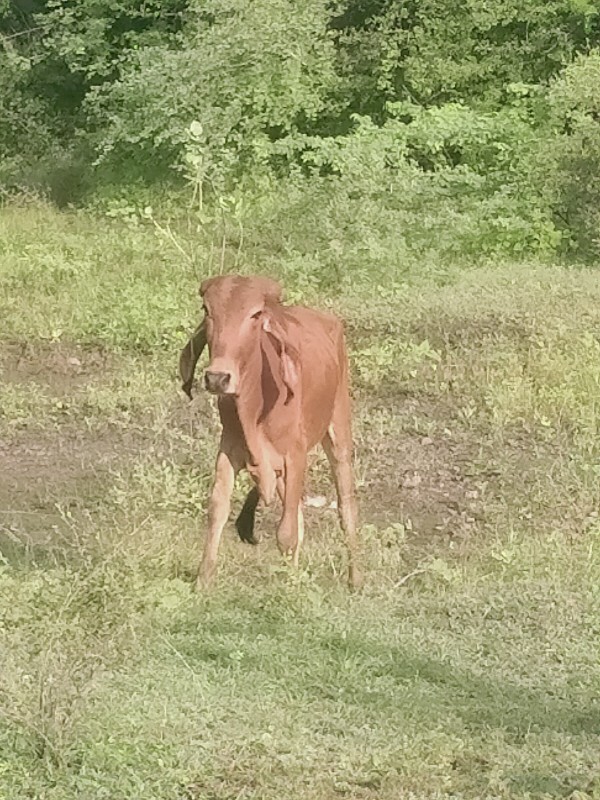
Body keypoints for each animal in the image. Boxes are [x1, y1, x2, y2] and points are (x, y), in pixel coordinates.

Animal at [176, 276, 358, 588]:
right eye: (206, 309)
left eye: (256, 314)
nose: (217, 378)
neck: (256, 408)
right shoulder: (229, 450)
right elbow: (217, 511)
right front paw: (203, 582)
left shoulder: (295, 456)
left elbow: (286, 532)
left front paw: (285, 589)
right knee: (298, 516)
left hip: (338, 430)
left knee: (345, 508)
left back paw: (355, 579)